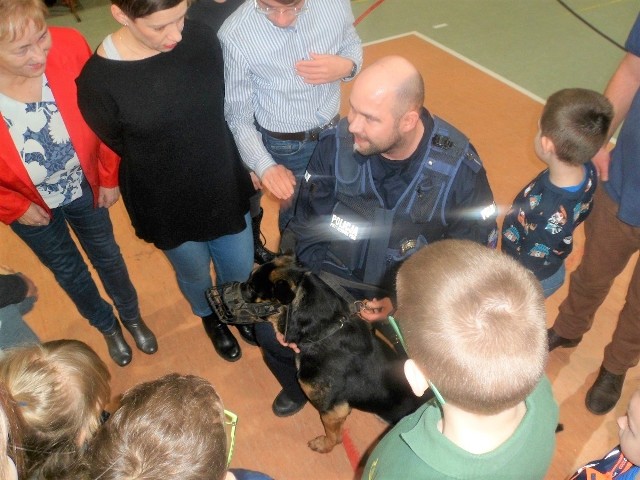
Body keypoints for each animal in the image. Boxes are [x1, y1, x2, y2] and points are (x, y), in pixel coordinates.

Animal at [242, 255, 428, 454]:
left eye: (252, 287)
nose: (236, 286)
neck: (324, 331)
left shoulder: (332, 411)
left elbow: (333, 435)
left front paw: (324, 446)